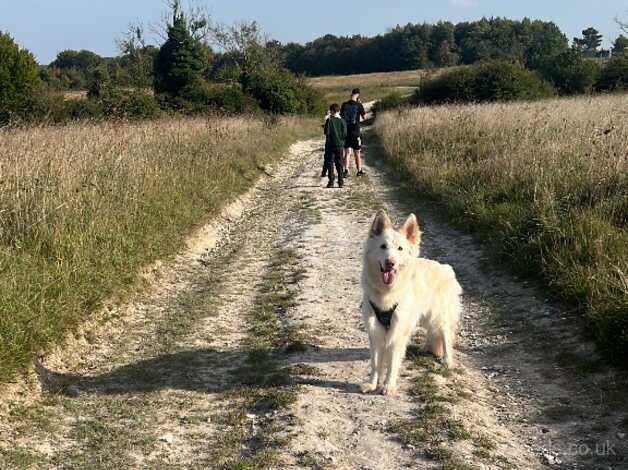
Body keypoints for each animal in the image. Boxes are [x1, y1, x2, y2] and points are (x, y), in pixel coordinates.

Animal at [358, 211, 462, 394]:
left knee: (445, 336)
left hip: (439, 316)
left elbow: (392, 363)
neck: (387, 293)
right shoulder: (375, 331)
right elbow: (375, 364)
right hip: (424, 317)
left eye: (400, 249)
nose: (390, 263)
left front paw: (388, 386)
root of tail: (445, 268)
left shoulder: (398, 332)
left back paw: (447, 360)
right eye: (383, 246)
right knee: (432, 333)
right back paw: (427, 347)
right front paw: (372, 384)